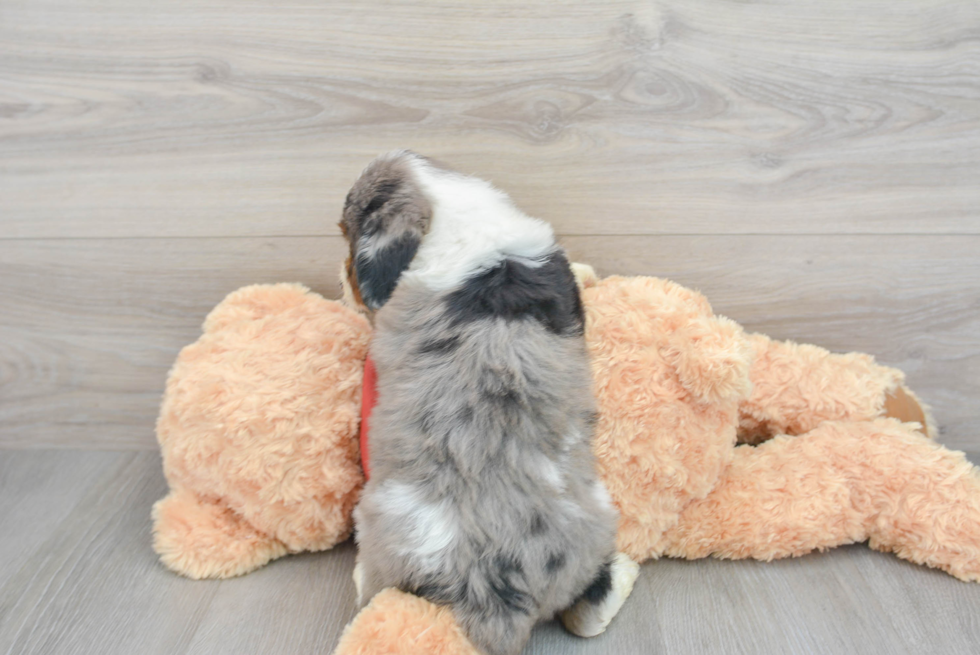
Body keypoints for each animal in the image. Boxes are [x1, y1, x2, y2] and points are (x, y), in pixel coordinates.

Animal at [340, 151, 640, 652]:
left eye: (345, 231)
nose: (344, 287)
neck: (450, 209)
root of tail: (492, 598)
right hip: (598, 517)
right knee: (589, 609)